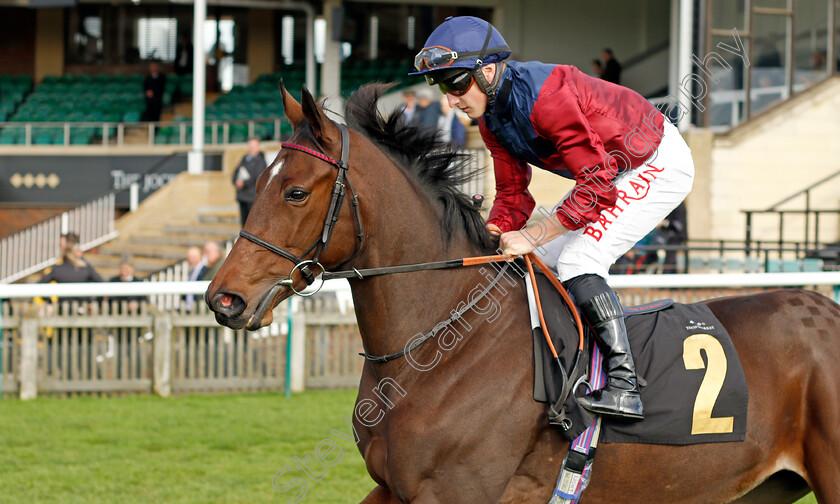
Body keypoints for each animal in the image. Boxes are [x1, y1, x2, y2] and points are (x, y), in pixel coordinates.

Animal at [208, 84, 840, 502]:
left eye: (293, 192)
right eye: (258, 182)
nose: (224, 299)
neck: (443, 346)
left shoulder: (456, 493)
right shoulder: (394, 490)